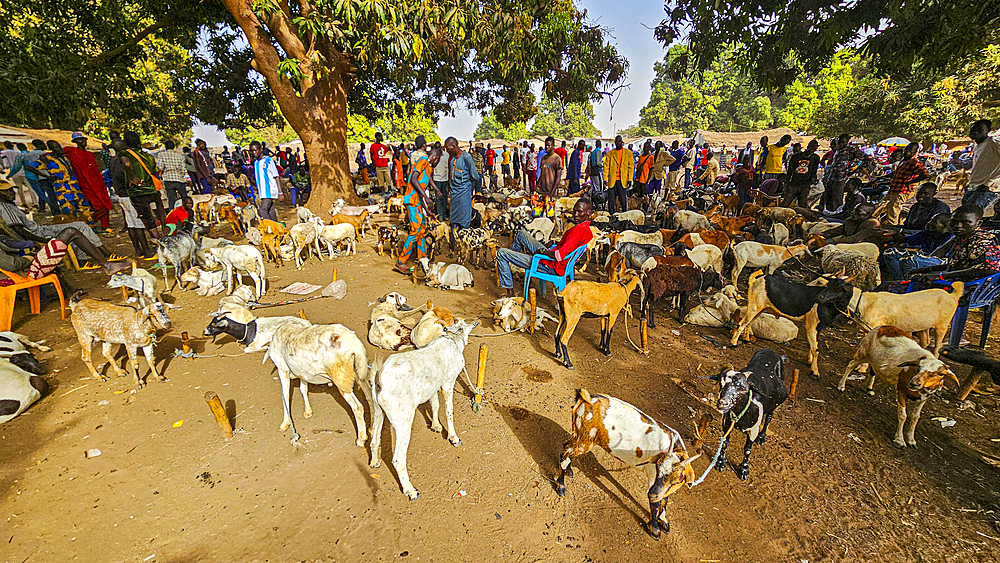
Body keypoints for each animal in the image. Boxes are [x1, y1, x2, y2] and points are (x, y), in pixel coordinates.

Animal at [368, 320, 480, 500]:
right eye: (462, 324)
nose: (475, 322)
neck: (453, 340)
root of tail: (380, 379)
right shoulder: (448, 383)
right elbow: (449, 411)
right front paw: (454, 438)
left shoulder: (433, 386)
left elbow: (435, 404)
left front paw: (436, 426)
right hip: (403, 421)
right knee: (398, 458)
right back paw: (411, 491)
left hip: (379, 411)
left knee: (374, 439)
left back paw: (374, 462)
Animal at [556, 390, 704, 540]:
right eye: (658, 469)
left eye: (675, 481)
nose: (652, 494)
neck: (674, 447)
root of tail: (587, 398)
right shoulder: (652, 476)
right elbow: (656, 504)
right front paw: (655, 530)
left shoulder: (662, 486)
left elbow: (665, 498)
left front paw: (664, 521)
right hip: (585, 440)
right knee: (565, 456)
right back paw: (561, 486)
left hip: (578, 435)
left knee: (566, 447)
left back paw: (568, 471)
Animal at [712, 348, 788, 480]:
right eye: (721, 383)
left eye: (743, 388)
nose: (723, 403)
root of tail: (774, 352)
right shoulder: (727, 424)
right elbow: (725, 443)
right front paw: (720, 463)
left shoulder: (753, 430)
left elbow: (747, 449)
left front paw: (744, 470)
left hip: (774, 405)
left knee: (769, 417)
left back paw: (762, 437)